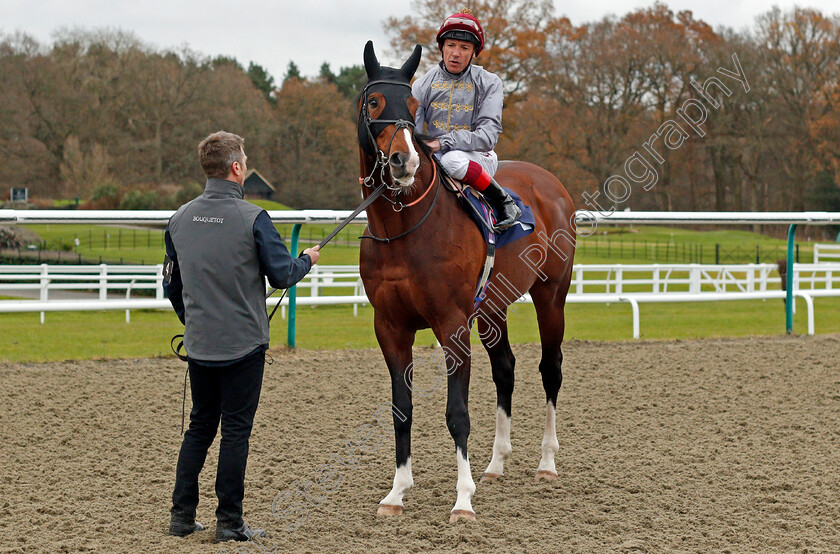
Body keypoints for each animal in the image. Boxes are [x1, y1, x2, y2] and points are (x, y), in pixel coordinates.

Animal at [354, 41, 576, 520]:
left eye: (412, 106)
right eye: (375, 101)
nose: (403, 160)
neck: (404, 228)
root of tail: (550, 183)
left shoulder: (452, 323)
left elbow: (457, 413)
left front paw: (462, 500)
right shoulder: (390, 328)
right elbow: (402, 409)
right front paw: (397, 493)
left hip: (551, 296)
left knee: (550, 369)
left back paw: (547, 463)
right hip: (492, 308)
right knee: (505, 369)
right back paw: (496, 464)